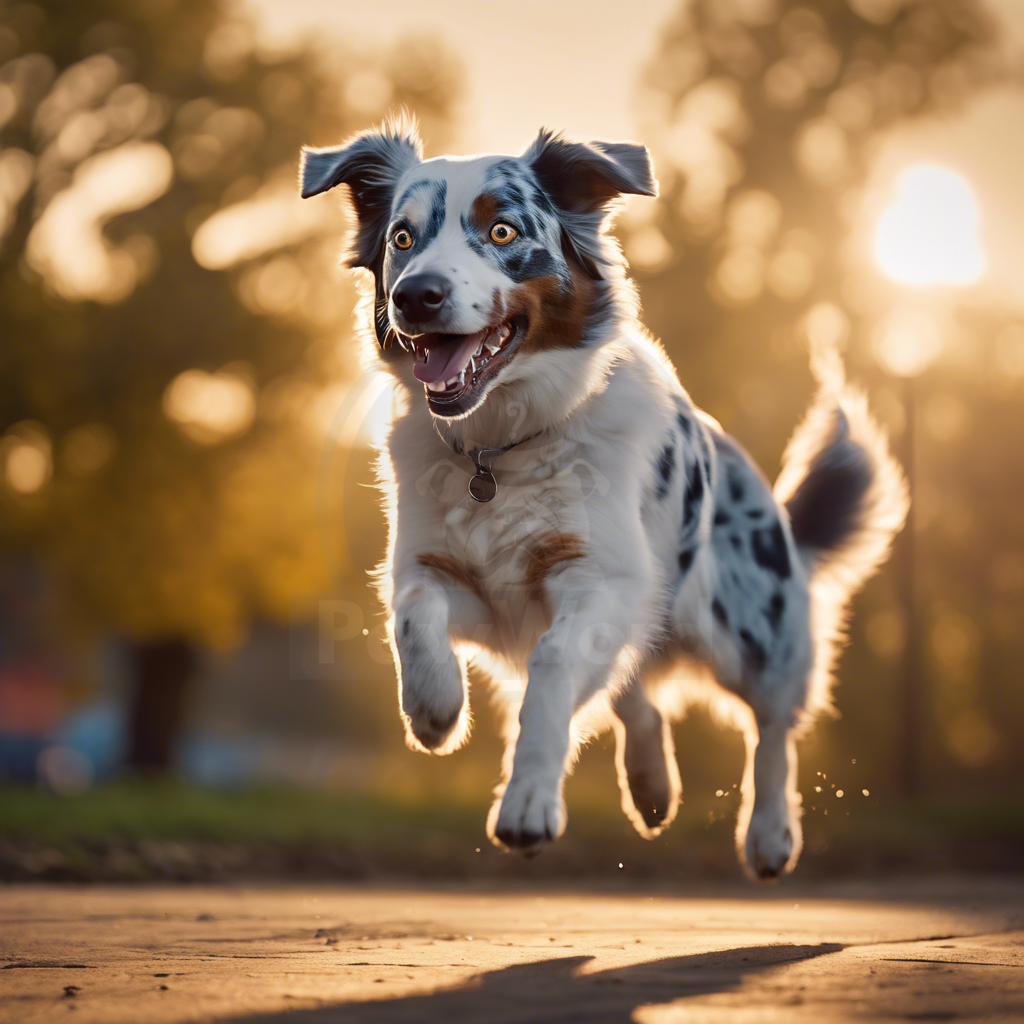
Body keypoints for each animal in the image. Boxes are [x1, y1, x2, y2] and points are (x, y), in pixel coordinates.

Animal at [299, 114, 909, 880]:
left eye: (502, 231)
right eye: (401, 240)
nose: (416, 296)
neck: (502, 445)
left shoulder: (597, 579)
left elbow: (554, 668)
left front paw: (528, 806)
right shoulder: (455, 578)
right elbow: (412, 615)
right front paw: (436, 711)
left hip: (745, 631)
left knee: (771, 727)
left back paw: (769, 836)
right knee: (636, 692)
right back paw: (652, 791)